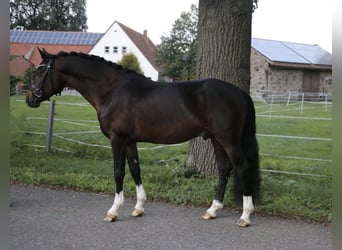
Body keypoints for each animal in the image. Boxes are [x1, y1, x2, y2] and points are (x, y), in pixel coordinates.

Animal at [26, 48, 260, 227]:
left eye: (39, 72)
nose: (29, 99)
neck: (111, 91)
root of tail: (240, 92)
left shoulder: (117, 140)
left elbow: (118, 172)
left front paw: (113, 211)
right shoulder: (130, 142)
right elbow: (135, 169)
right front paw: (138, 207)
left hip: (229, 140)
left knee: (242, 168)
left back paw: (245, 216)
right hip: (216, 139)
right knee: (224, 169)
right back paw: (212, 210)